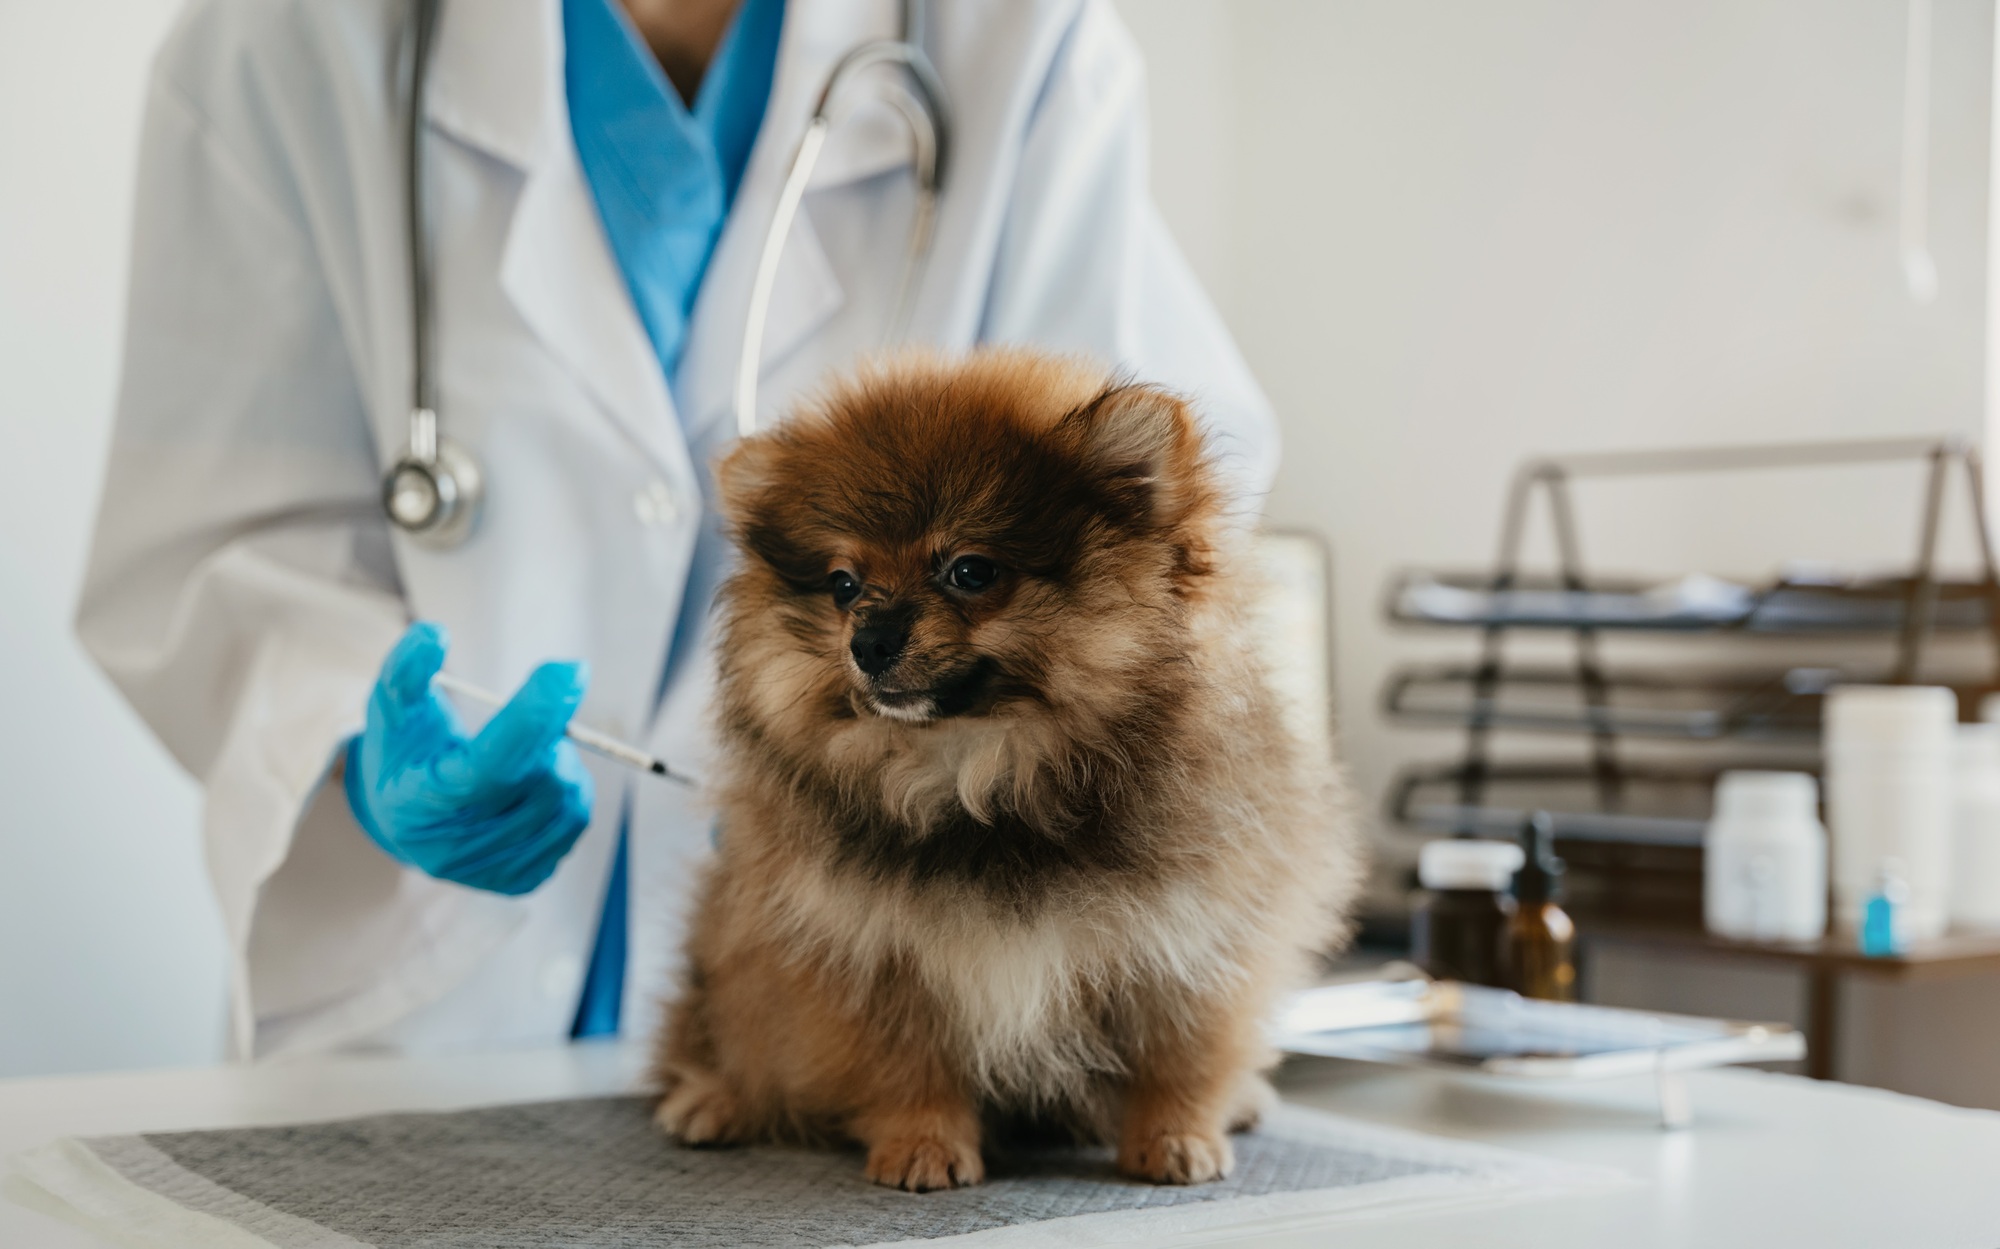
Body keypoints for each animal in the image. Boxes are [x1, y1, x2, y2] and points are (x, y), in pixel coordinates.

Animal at [656, 348, 1360, 1192]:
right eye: (843, 584)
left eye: (969, 570)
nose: (869, 640)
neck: (983, 774)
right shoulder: (869, 948)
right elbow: (905, 1064)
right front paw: (921, 1144)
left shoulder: (1193, 932)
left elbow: (1182, 1052)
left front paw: (1177, 1136)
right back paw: (714, 1098)